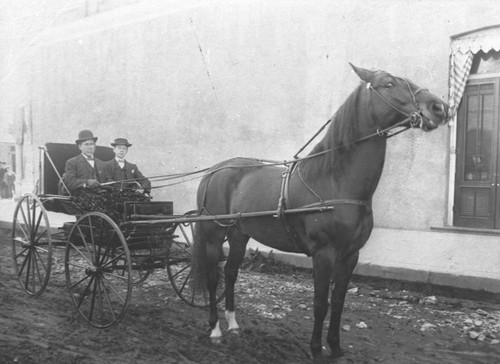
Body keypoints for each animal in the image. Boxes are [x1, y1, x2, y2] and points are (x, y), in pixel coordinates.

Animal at [191, 64, 450, 362]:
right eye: (388, 84)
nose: (439, 107)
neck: (335, 180)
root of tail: (214, 171)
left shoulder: (350, 255)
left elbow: (338, 303)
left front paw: (336, 348)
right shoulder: (324, 254)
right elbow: (320, 304)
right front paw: (316, 349)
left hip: (239, 235)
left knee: (231, 273)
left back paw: (233, 324)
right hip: (213, 235)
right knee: (213, 278)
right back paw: (215, 331)